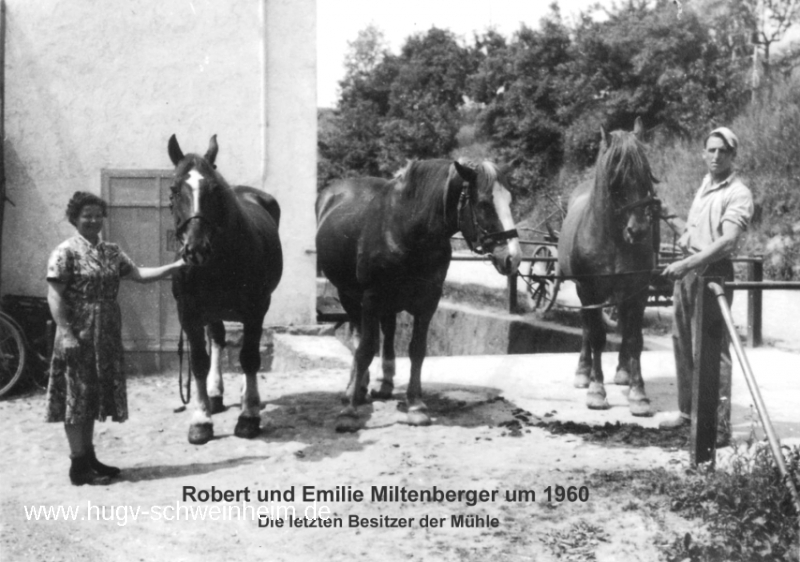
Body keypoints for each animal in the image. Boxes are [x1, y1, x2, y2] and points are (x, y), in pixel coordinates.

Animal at [167, 135, 282, 442]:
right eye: (174, 190)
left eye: (215, 189)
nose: (195, 249)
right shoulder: (189, 313)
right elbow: (198, 362)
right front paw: (200, 420)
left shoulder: (256, 309)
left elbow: (250, 358)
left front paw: (249, 417)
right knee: (218, 340)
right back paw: (215, 396)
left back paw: (245, 397)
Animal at [316, 158, 520, 428]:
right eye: (484, 204)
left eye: (510, 200)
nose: (513, 257)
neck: (405, 230)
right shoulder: (370, 298)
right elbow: (365, 349)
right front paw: (349, 411)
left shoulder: (428, 302)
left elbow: (417, 349)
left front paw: (416, 405)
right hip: (348, 295)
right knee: (361, 339)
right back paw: (355, 389)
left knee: (388, 332)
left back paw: (383, 384)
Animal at [560, 118, 660, 414]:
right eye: (615, 181)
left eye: (646, 175)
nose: (638, 231)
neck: (612, 240)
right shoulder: (589, 291)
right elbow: (596, 337)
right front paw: (596, 390)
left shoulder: (638, 291)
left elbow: (635, 338)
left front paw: (638, 393)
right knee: (587, 328)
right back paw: (584, 373)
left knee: (625, 328)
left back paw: (623, 373)